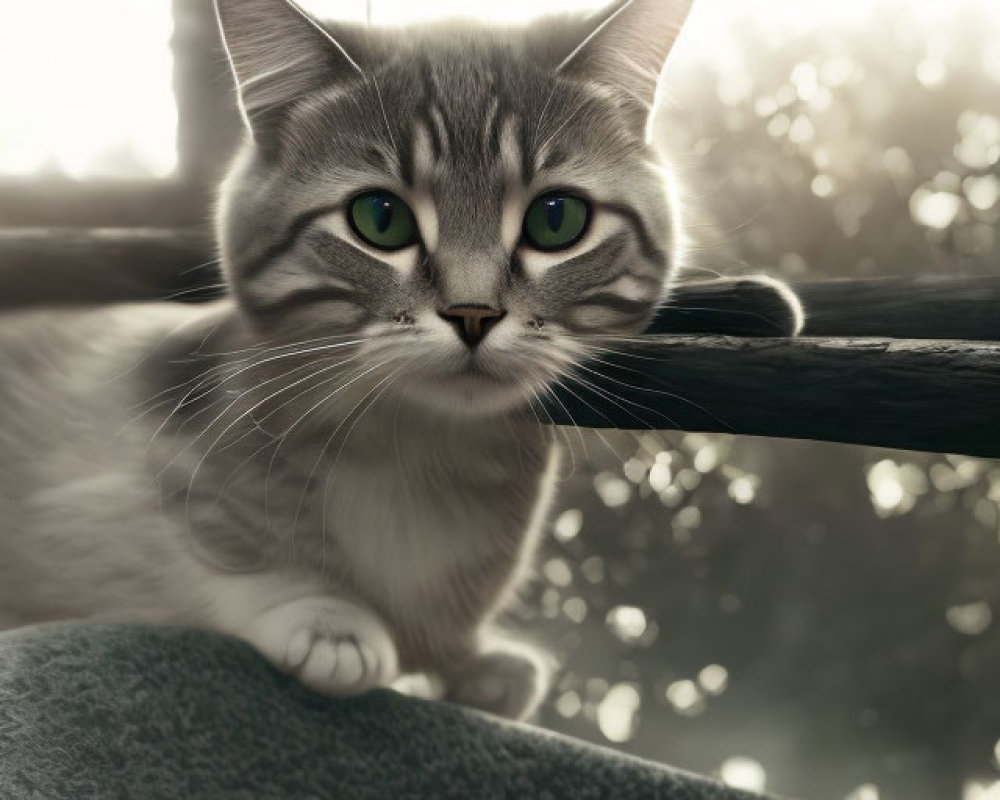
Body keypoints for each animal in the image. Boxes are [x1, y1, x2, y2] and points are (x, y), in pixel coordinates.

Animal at [0, 0, 780, 720]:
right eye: (380, 219)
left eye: (556, 219)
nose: (474, 315)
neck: (426, 447)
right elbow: (212, 542)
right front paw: (324, 612)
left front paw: (470, 660)